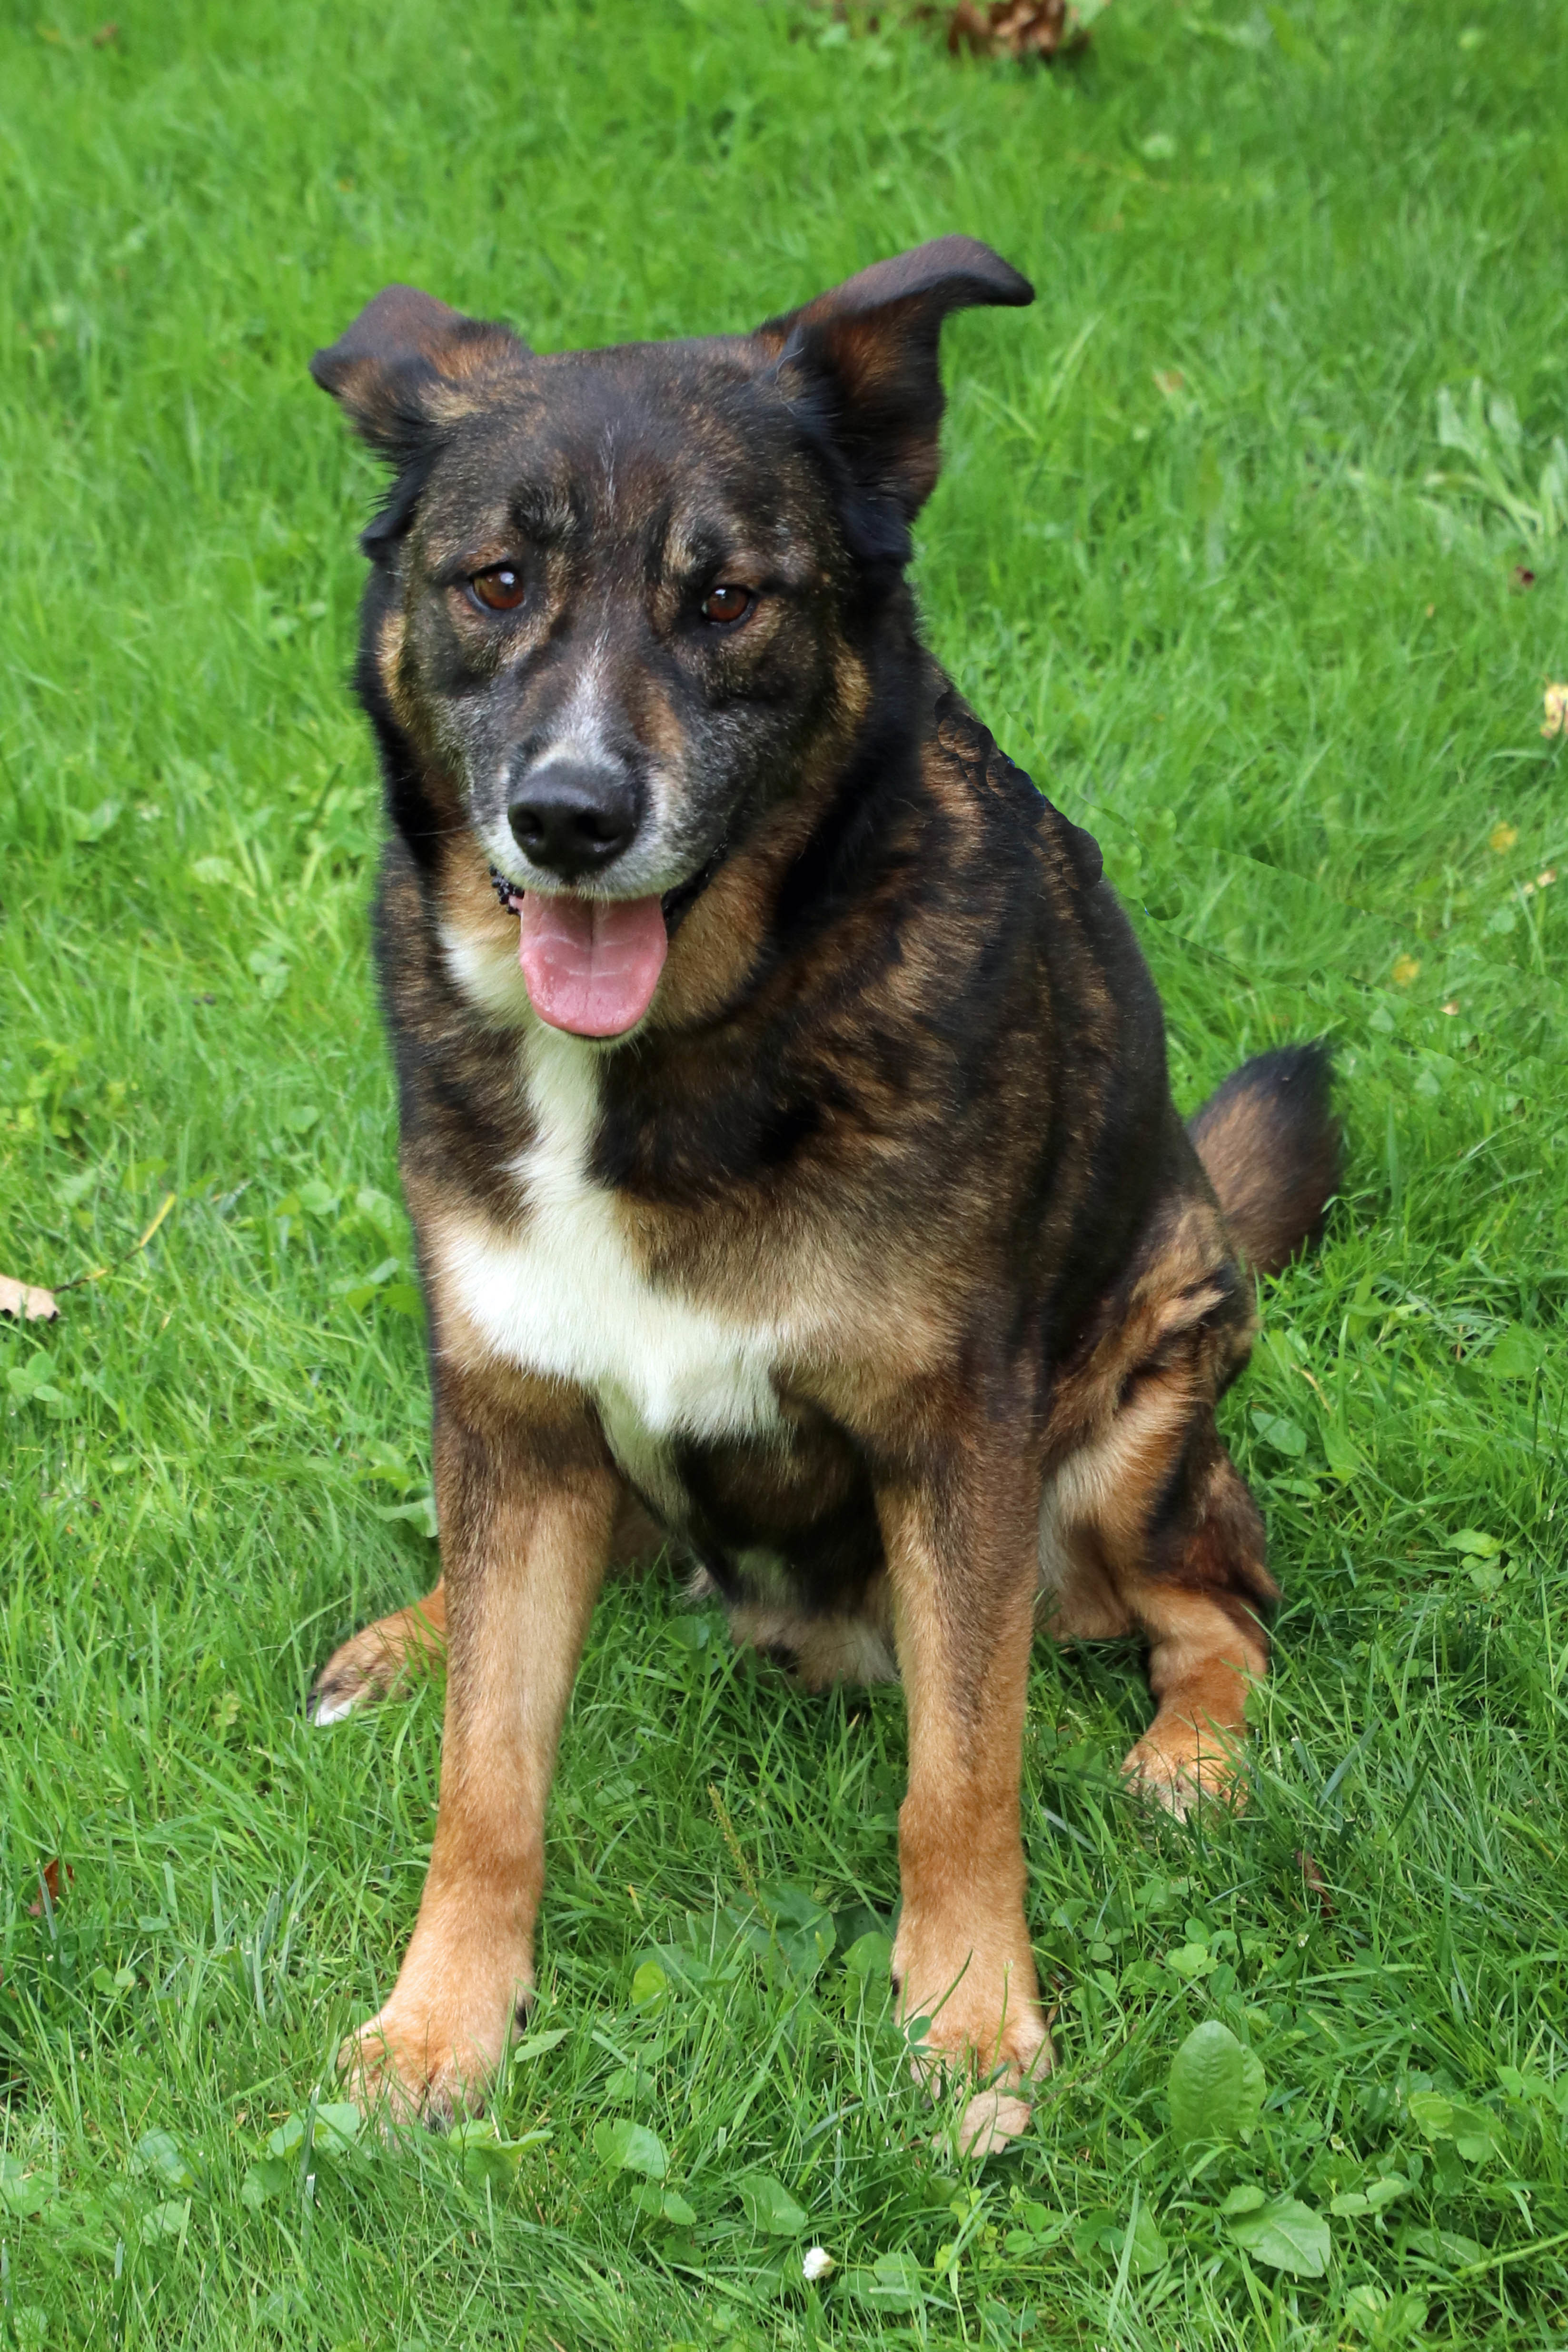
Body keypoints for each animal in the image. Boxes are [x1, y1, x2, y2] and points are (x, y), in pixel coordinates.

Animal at [312, 243, 1344, 2154]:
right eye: (496, 582)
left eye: (728, 601)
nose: (571, 816)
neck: (671, 1057)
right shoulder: (508, 1403)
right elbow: (485, 1783)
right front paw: (436, 2030)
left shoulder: (958, 1442)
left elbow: (963, 1775)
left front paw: (971, 2020)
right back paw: (415, 1635)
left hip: (1133, 1417)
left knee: (1220, 1609)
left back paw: (1190, 1754)